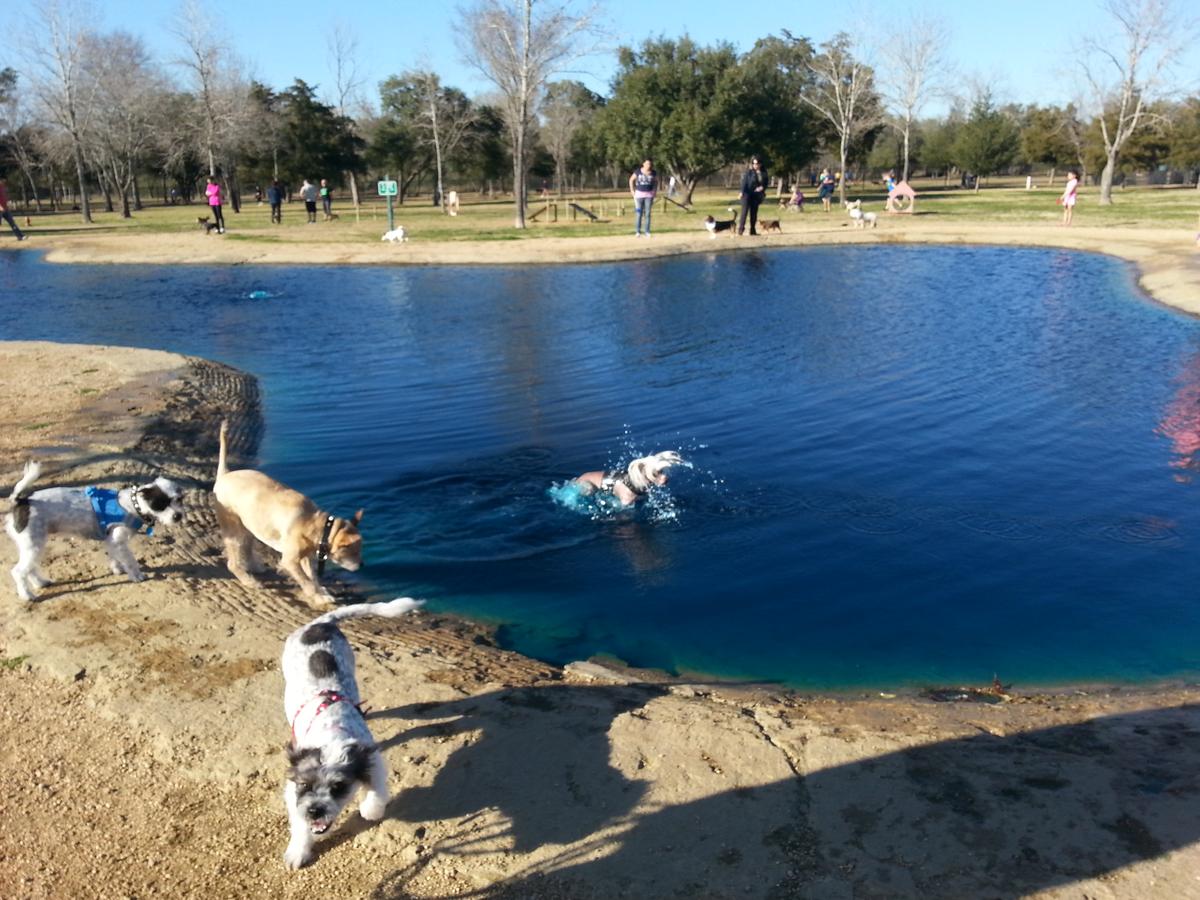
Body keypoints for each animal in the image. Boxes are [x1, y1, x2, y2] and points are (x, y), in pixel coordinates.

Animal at [3, 460, 186, 602]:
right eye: (161, 503)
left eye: (178, 500)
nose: (178, 516)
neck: (132, 504)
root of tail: (22, 501)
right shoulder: (118, 540)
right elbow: (130, 561)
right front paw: (136, 575)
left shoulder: (112, 541)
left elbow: (115, 557)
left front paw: (117, 568)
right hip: (34, 544)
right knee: (18, 571)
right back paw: (27, 595)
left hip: (34, 544)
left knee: (30, 568)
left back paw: (40, 583)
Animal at [212, 422, 360, 607]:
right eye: (353, 552)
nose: (361, 565)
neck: (313, 522)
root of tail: (224, 474)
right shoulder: (290, 561)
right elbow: (306, 581)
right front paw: (318, 597)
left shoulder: (306, 557)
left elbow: (313, 578)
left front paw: (321, 591)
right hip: (235, 532)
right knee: (232, 563)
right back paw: (249, 581)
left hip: (249, 528)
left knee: (247, 549)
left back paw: (255, 567)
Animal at [282, 595, 427, 868]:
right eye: (304, 785)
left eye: (338, 787)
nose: (315, 811)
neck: (329, 732)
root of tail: (321, 623)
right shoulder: (293, 792)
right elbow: (299, 822)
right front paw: (298, 851)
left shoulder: (371, 759)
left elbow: (376, 791)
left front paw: (370, 810)